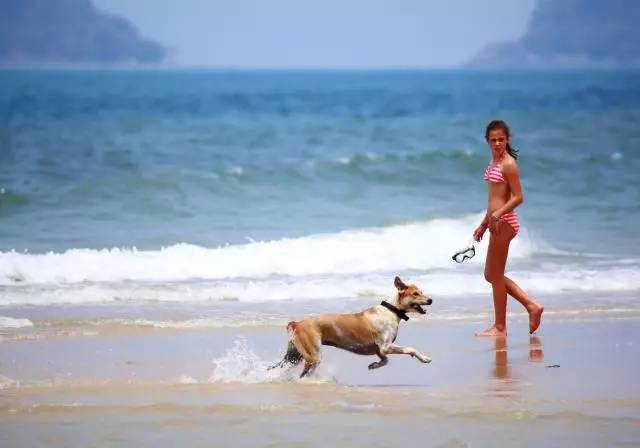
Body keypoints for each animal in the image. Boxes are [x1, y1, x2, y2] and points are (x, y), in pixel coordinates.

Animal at [268, 276, 432, 378]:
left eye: (421, 292)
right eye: (415, 294)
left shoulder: (379, 349)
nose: (430, 300)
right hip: (312, 356)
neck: (391, 310)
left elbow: (385, 360)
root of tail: (297, 323)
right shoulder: (385, 346)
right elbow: (410, 349)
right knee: (304, 373)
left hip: (294, 356)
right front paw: (424, 358)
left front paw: (374, 365)